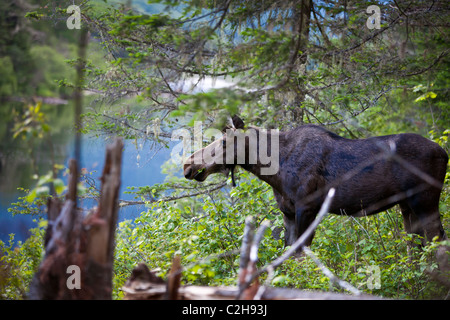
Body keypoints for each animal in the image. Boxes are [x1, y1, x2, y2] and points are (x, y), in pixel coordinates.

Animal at [182, 116, 446, 251]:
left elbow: (300, 253)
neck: (273, 171)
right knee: (417, 244)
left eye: (224, 142)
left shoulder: (307, 207)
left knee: (437, 239)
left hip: (425, 200)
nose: (188, 164)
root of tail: (444, 153)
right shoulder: (288, 212)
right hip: (406, 205)